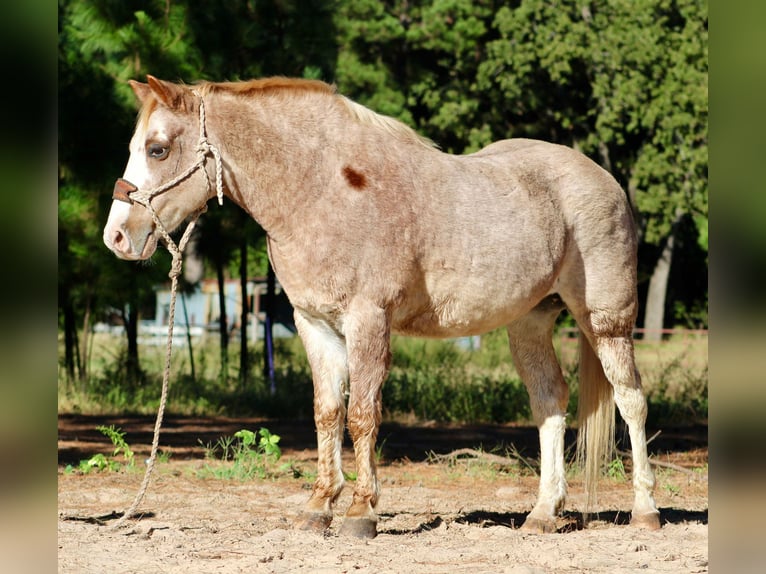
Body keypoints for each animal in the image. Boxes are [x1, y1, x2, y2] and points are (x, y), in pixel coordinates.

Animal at [105, 76, 664, 540]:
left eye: (157, 149)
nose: (117, 237)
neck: (321, 190)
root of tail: (604, 179)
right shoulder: (314, 324)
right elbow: (327, 412)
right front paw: (317, 508)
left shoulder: (368, 319)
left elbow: (362, 415)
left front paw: (360, 512)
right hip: (530, 323)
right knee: (550, 402)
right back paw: (544, 514)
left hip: (607, 321)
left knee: (631, 400)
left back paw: (646, 511)